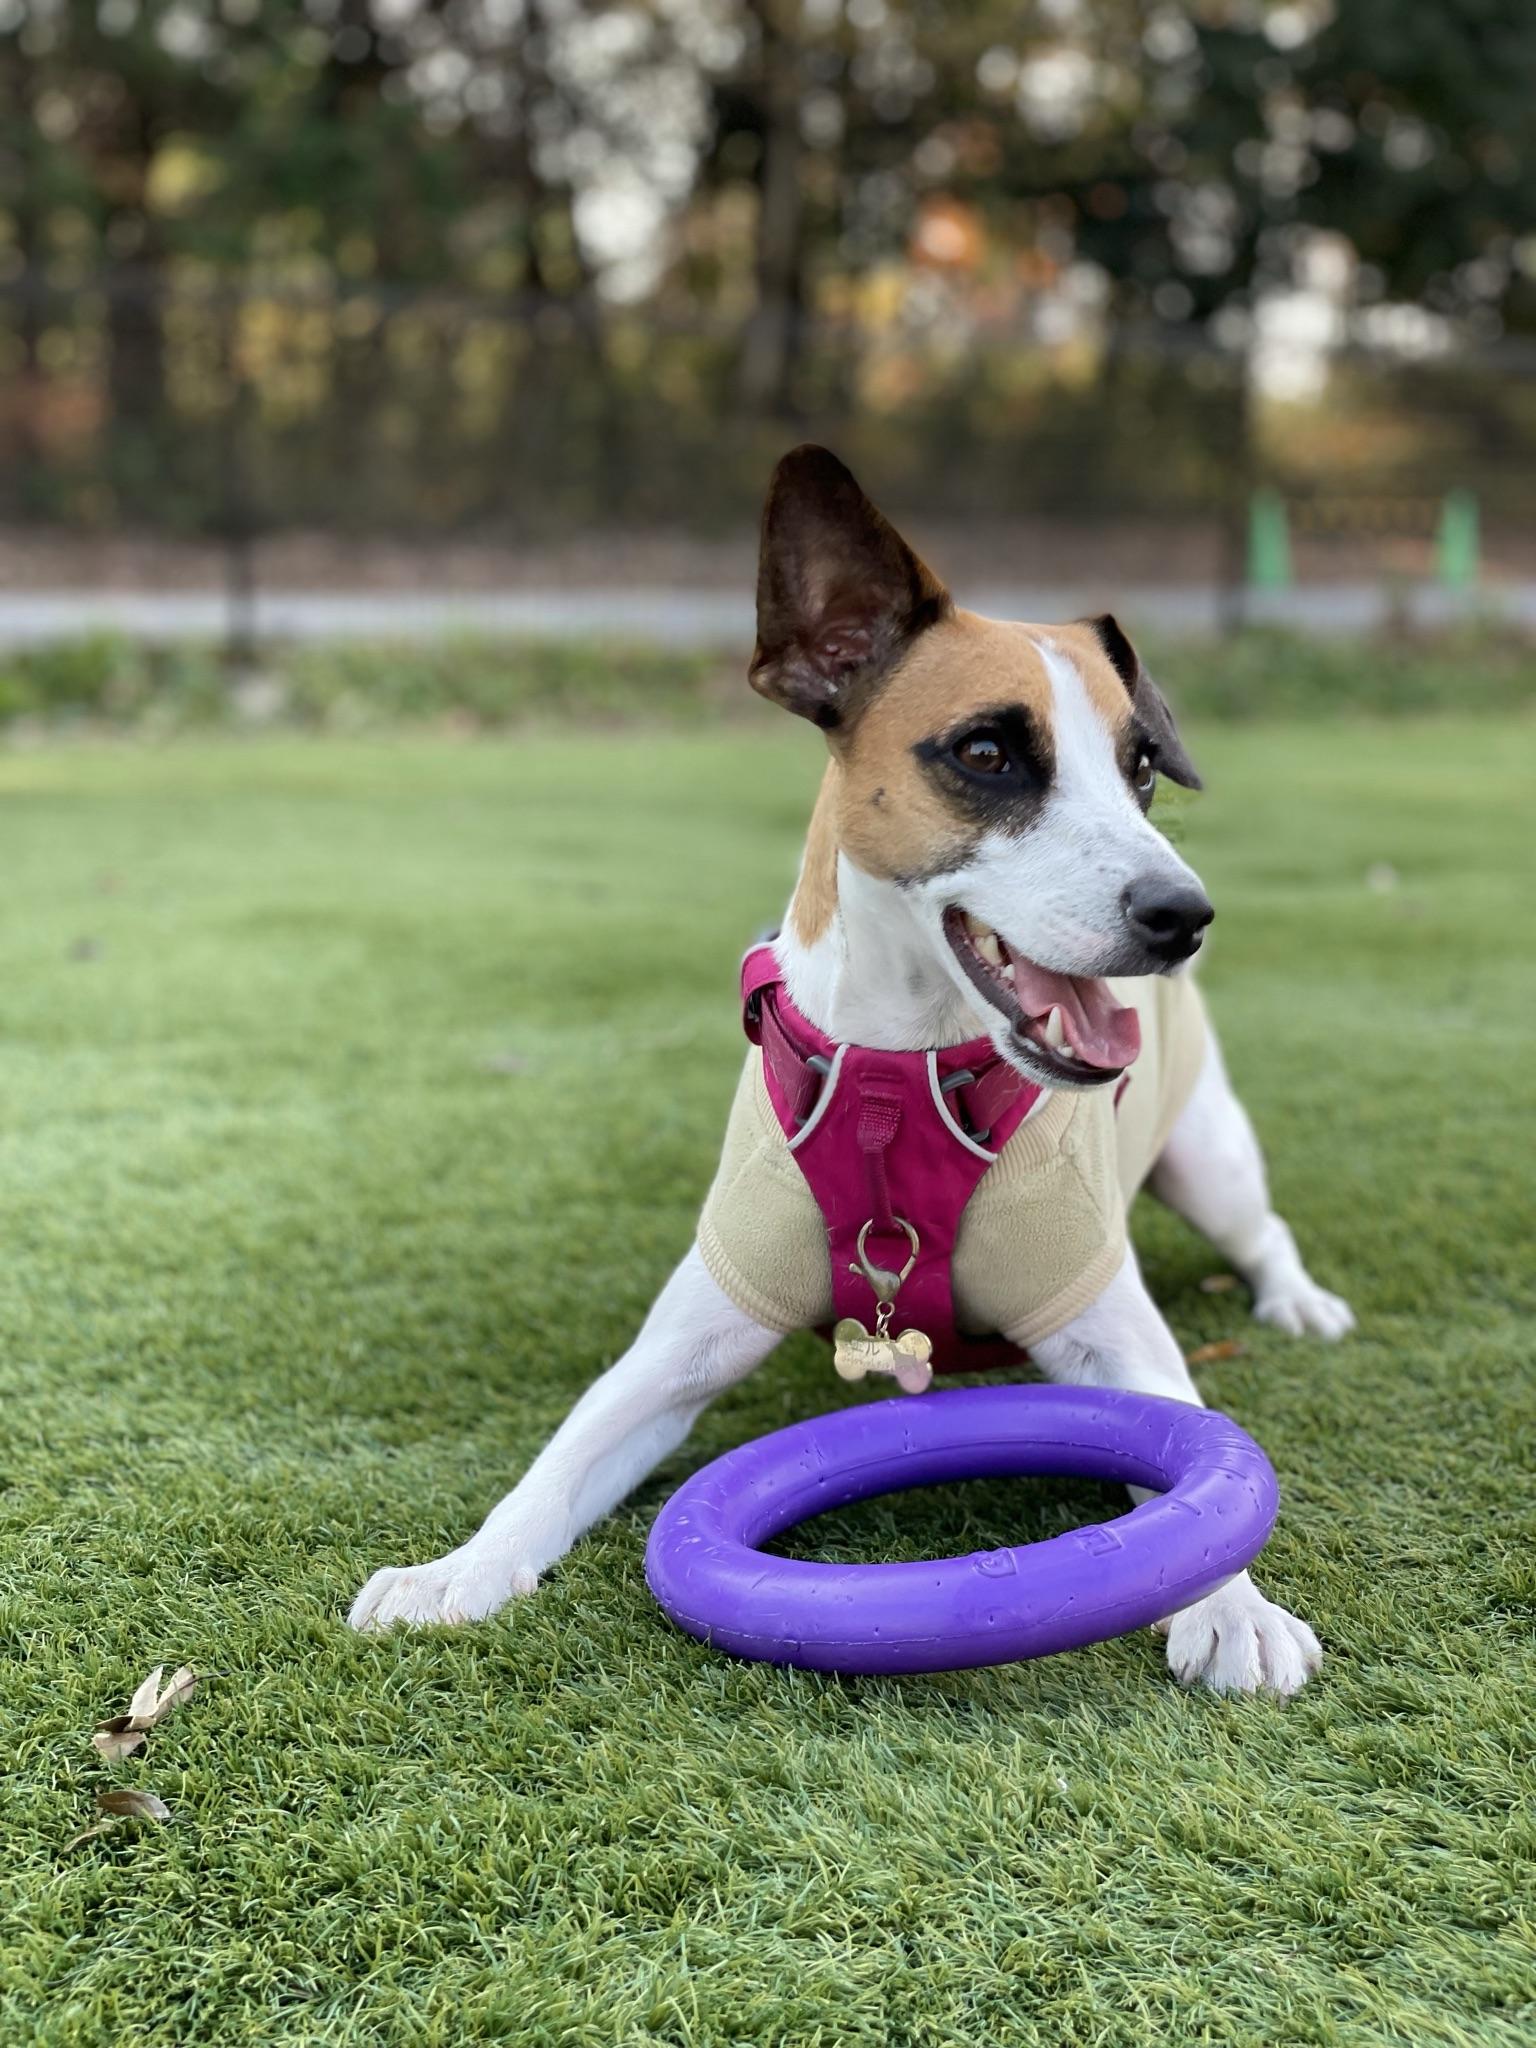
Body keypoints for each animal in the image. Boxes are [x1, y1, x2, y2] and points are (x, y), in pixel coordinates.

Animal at [352, 448, 1359, 1695]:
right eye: (987, 753)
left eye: (1142, 771)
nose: (1184, 915)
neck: (900, 1078)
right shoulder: (680, 1345)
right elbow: (558, 1463)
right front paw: (456, 1568)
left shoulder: (1114, 1337)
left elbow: (1186, 1447)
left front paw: (1233, 1602)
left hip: (1207, 1157)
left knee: (1260, 1227)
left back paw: (1300, 1299)